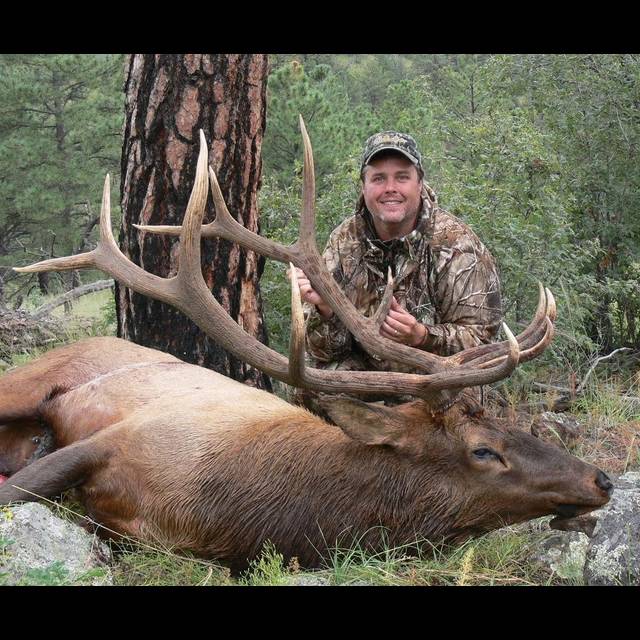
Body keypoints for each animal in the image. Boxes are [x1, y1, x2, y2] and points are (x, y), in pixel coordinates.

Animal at [0, 119, 613, 571]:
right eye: (484, 450)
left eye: (511, 424)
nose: (600, 479)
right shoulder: (120, 438)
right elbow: (20, 492)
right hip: (30, 378)